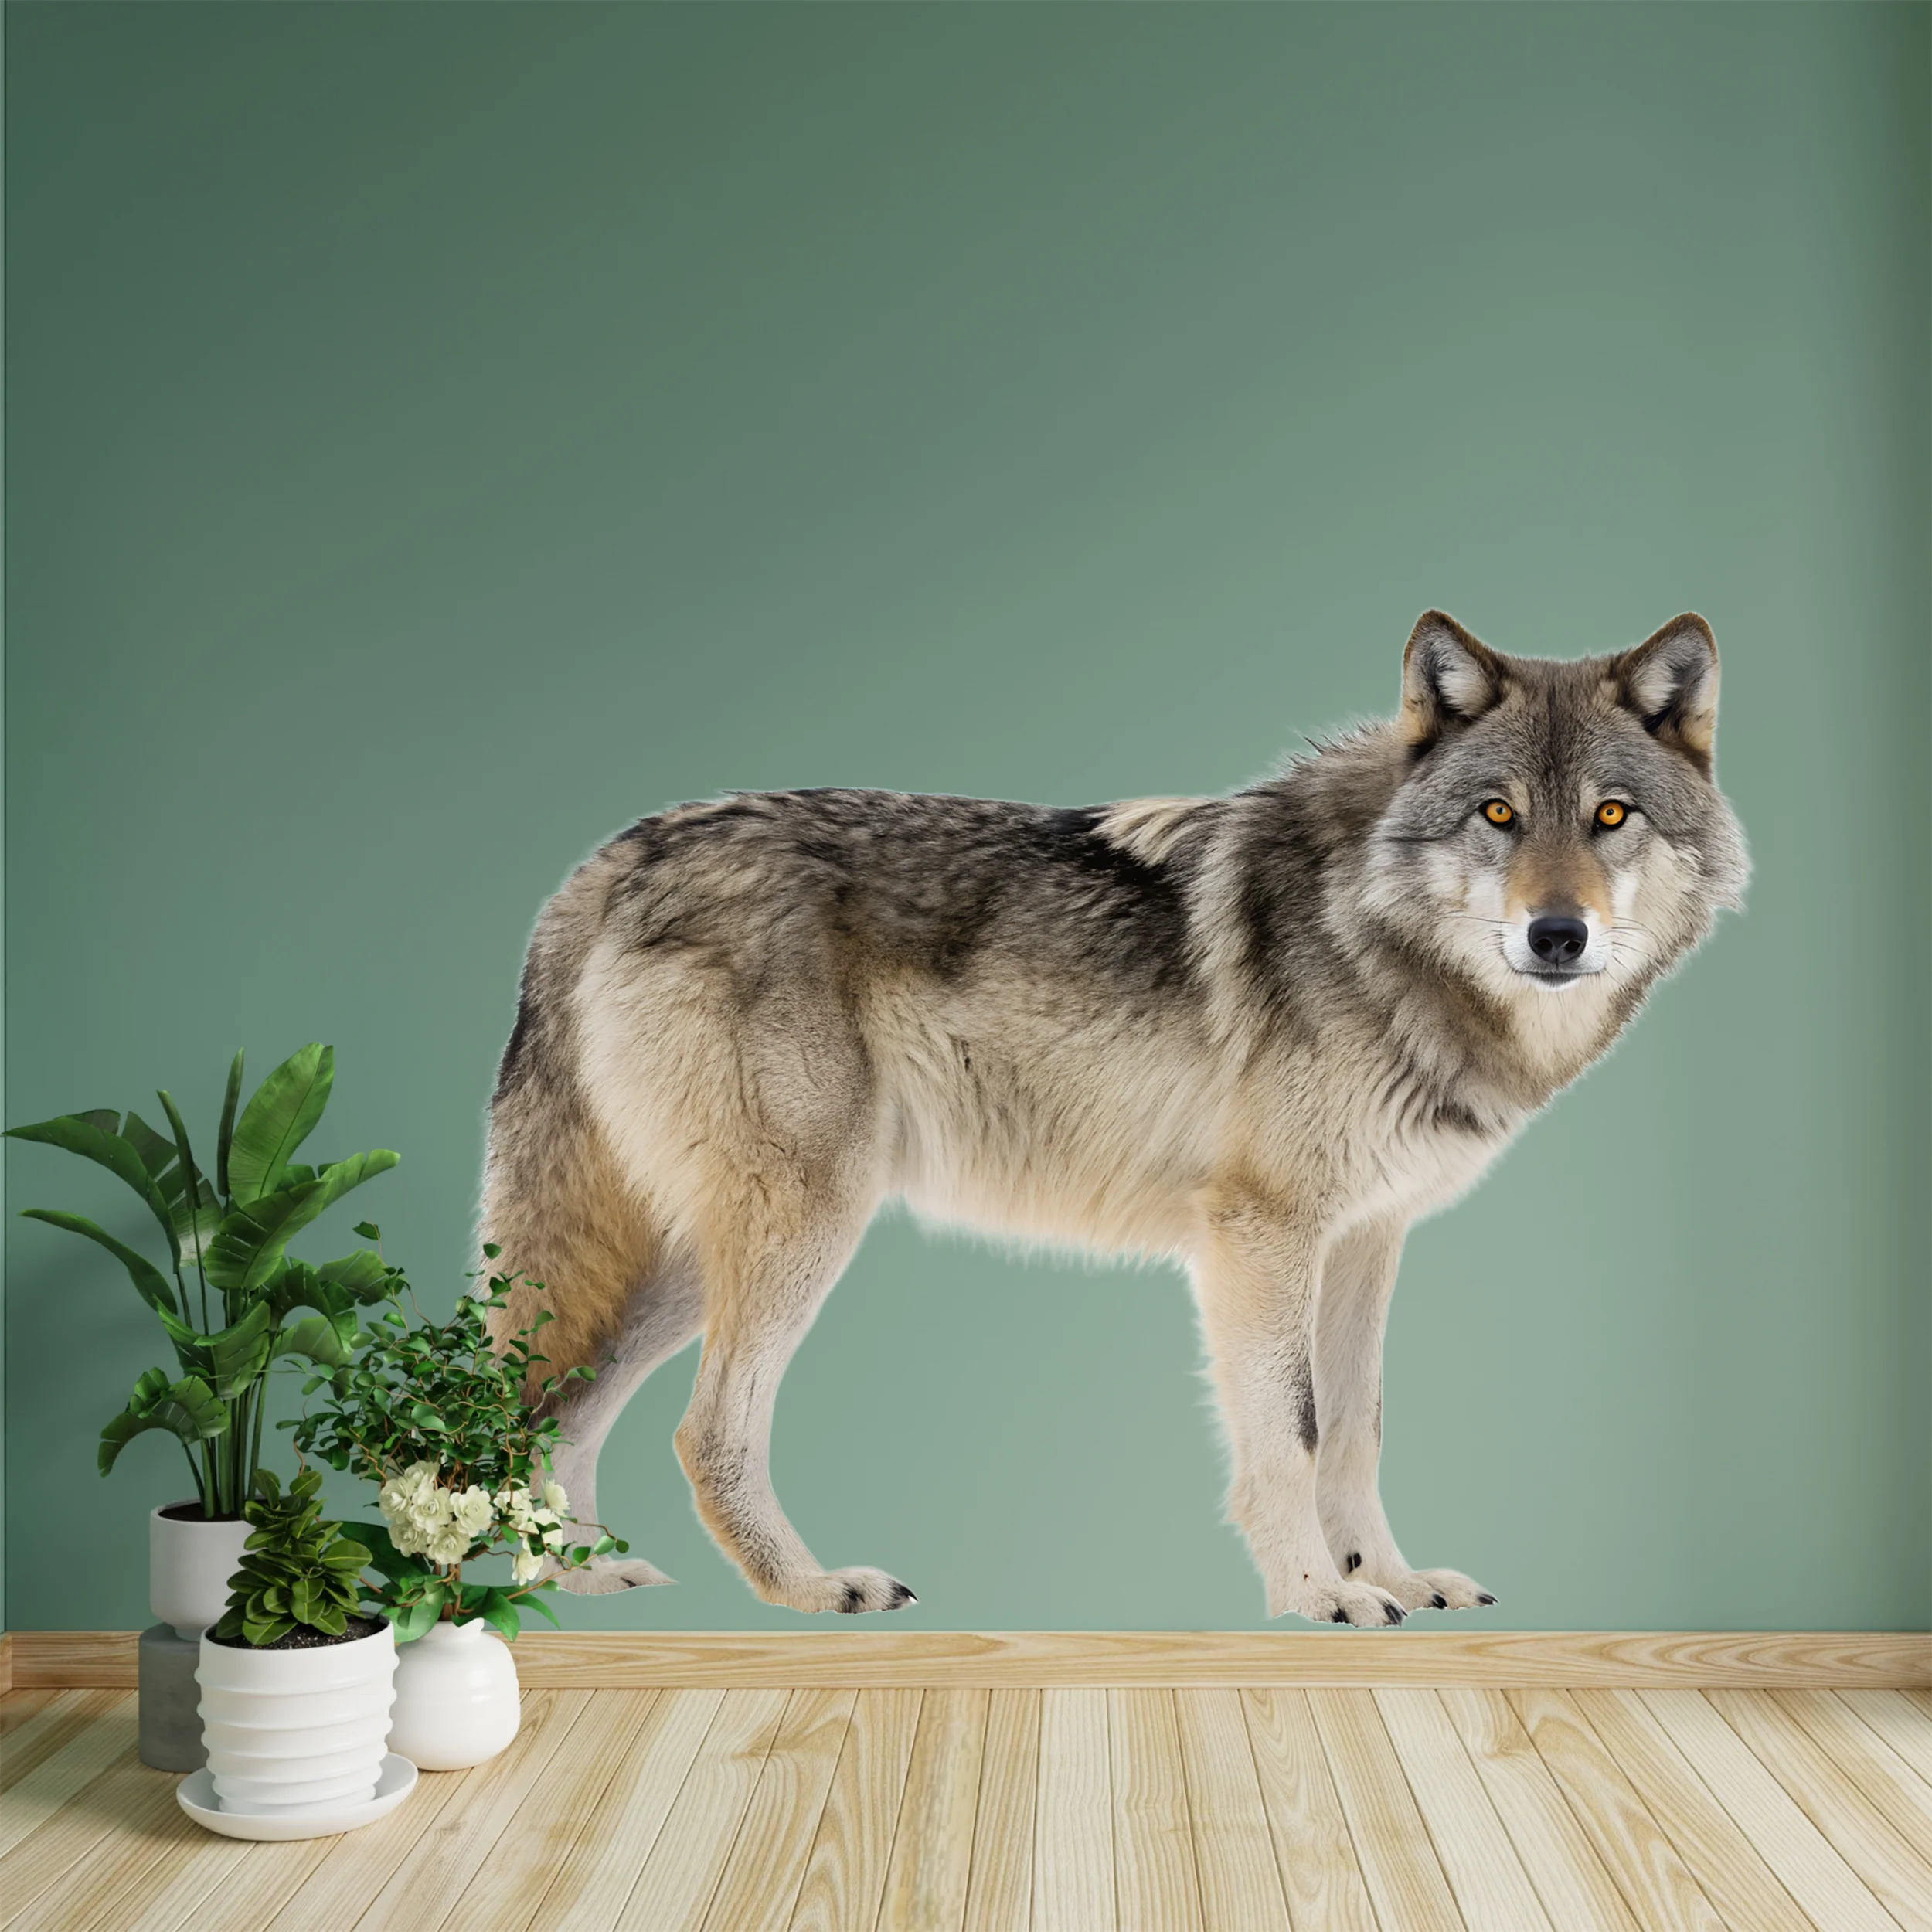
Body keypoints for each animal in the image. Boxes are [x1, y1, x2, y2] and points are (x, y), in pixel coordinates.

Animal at [483, 611, 1746, 1625]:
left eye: (1611, 816)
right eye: (1498, 814)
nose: (1556, 936)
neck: (1376, 936)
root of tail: (603, 861)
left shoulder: (1366, 1240)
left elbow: (1356, 1428)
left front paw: (1387, 1575)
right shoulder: (1262, 1235)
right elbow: (1289, 1434)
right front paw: (1317, 1596)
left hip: (685, 1259)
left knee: (557, 1405)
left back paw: (581, 1578)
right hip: (798, 1225)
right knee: (701, 1431)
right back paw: (808, 1587)